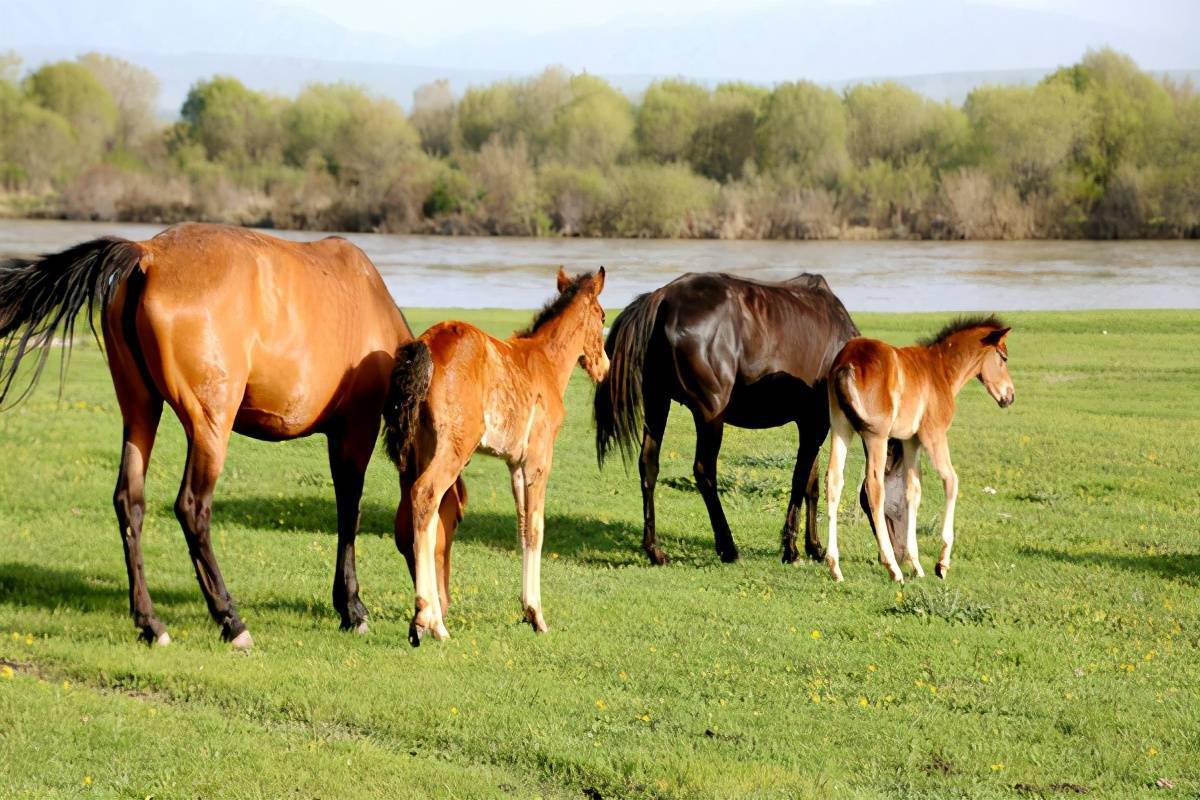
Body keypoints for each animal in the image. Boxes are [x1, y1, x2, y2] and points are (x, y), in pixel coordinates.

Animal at [0, 221, 465, 647]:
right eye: (454, 518)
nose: (441, 602)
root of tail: (149, 254)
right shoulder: (356, 428)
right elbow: (349, 512)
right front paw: (352, 608)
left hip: (140, 409)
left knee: (129, 502)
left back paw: (151, 623)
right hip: (209, 425)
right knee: (192, 508)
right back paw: (231, 621)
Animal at [384, 267, 609, 642]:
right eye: (603, 316)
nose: (604, 367)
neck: (546, 362)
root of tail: (425, 346)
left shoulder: (515, 464)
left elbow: (521, 525)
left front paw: (527, 611)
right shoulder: (538, 460)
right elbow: (536, 527)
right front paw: (537, 615)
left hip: (424, 448)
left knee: (423, 516)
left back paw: (426, 618)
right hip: (455, 447)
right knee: (425, 495)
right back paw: (432, 621)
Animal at [595, 275, 902, 568]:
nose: (897, 556)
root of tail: (662, 298)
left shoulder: (811, 423)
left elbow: (811, 485)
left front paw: (814, 547)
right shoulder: (815, 423)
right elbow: (799, 481)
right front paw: (791, 550)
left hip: (657, 401)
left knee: (649, 465)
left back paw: (655, 551)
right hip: (710, 415)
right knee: (704, 471)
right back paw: (728, 548)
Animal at [825, 316, 1012, 585]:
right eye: (1003, 357)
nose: (1010, 396)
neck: (940, 370)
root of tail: (847, 362)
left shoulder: (910, 441)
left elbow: (912, 491)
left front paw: (916, 564)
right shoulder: (934, 435)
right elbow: (951, 480)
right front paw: (941, 563)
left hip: (840, 428)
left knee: (834, 481)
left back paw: (835, 567)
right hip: (876, 436)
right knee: (874, 487)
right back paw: (893, 568)